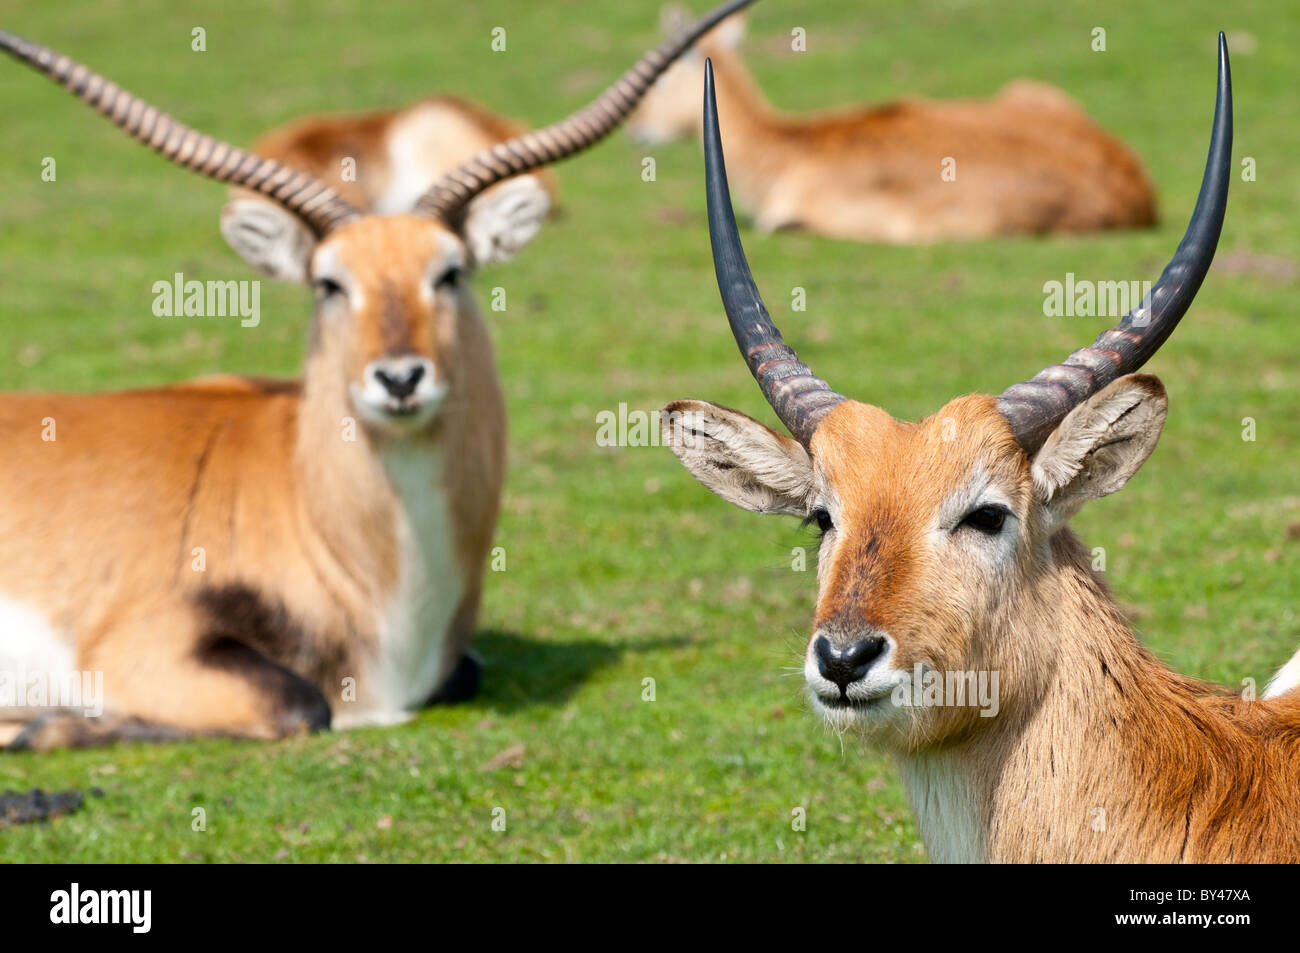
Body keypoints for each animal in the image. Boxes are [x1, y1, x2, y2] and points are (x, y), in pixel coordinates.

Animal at [0, 0, 754, 748]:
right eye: (329, 282)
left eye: (449, 271)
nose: (398, 380)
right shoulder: (140, 648)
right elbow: (302, 703)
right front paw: (42, 726)